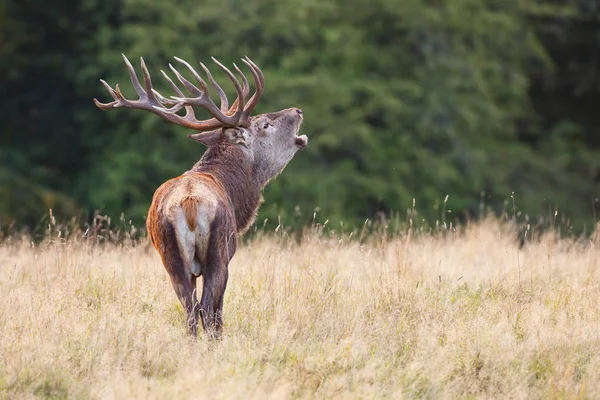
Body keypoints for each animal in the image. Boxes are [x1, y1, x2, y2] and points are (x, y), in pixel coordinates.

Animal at [96, 54, 310, 340]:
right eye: (265, 124)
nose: (297, 111)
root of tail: (189, 203)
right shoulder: (228, 254)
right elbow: (218, 308)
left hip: (170, 255)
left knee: (189, 309)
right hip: (218, 250)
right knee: (208, 307)